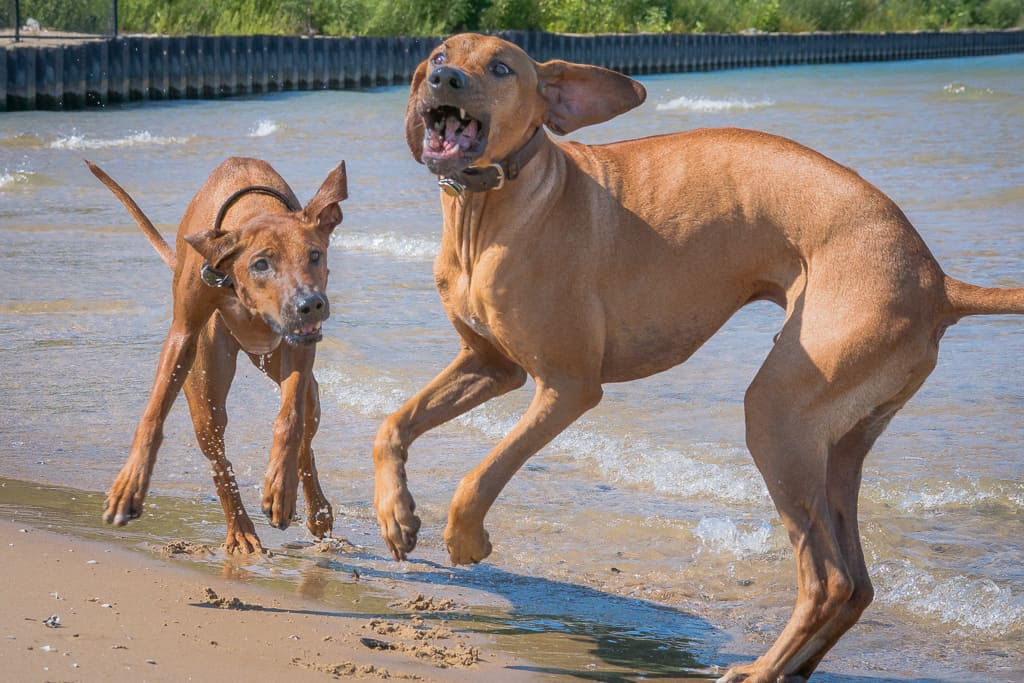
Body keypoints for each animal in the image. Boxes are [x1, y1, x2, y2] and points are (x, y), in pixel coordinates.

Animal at [86, 160, 348, 557]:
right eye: (261, 264)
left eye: (315, 255)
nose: (310, 305)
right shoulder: (184, 331)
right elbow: (153, 414)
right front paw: (129, 485)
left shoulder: (300, 343)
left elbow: (289, 420)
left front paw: (280, 486)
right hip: (205, 385)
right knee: (218, 456)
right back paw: (240, 530)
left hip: (299, 381)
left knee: (305, 429)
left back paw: (312, 507)